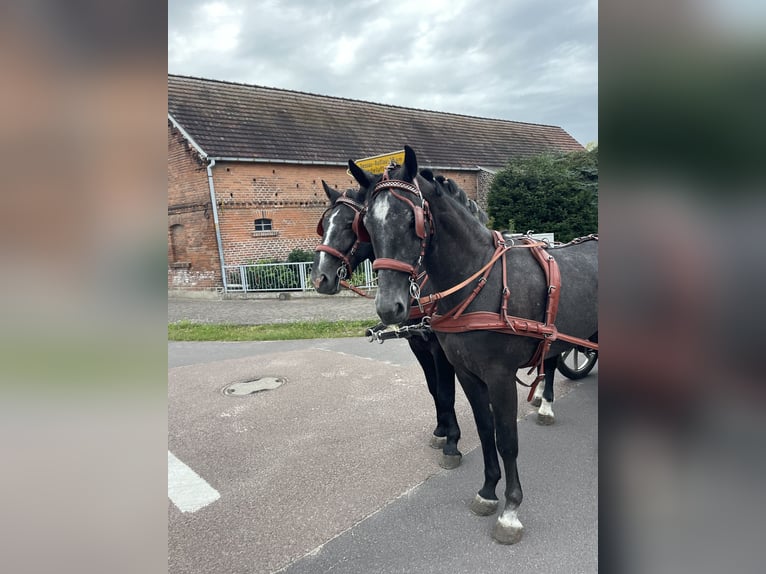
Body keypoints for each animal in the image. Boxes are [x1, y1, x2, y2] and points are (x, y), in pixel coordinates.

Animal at [310, 181, 464, 472]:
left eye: (350, 225)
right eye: (324, 225)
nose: (319, 279)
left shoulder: (439, 348)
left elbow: (445, 391)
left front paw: (452, 442)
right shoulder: (417, 344)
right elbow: (433, 388)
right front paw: (441, 430)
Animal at [354, 146, 600, 548]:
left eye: (411, 220)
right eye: (368, 225)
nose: (389, 307)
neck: (479, 281)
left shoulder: (499, 377)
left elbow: (507, 439)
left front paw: (511, 510)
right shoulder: (468, 374)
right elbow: (486, 430)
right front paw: (487, 491)